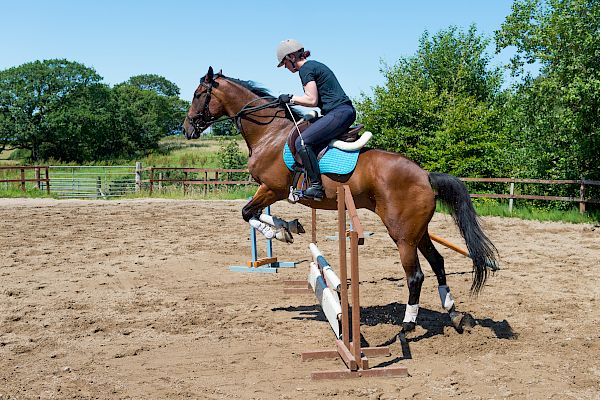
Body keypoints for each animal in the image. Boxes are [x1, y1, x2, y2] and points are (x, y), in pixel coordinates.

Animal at [182, 67, 496, 332]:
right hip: (417, 230)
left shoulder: (272, 188)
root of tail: (426, 176)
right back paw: (454, 314)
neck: (269, 133)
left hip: (402, 234)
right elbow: (256, 213)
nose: (186, 129)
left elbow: (248, 213)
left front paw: (278, 231)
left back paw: (407, 325)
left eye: (198, 95)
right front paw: (288, 227)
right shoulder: (271, 191)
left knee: (416, 275)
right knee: (438, 263)